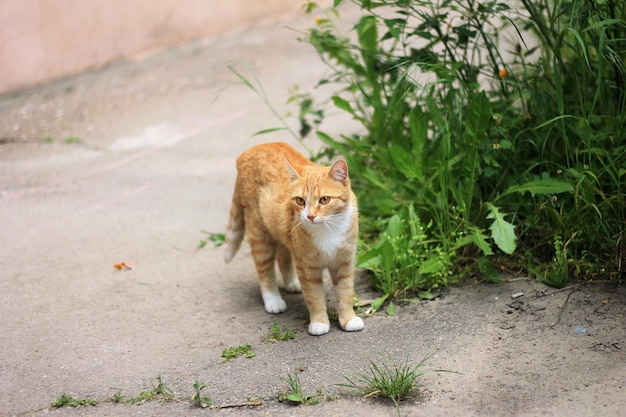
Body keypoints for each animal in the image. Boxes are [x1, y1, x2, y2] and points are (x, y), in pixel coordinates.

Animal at [223, 142, 360, 334]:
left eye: (325, 200)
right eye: (300, 201)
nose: (310, 216)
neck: (328, 229)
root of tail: (252, 149)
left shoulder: (344, 263)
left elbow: (345, 293)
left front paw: (349, 319)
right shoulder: (307, 267)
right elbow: (314, 296)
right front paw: (319, 322)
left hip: (282, 233)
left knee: (282, 256)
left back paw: (291, 283)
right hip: (260, 235)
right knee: (265, 270)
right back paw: (273, 300)